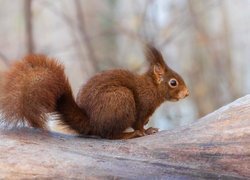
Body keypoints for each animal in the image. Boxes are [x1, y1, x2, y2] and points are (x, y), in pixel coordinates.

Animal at [0, 45, 188, 139]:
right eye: (173, 82)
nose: (186, 94)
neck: (151, 87)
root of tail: (92, 122)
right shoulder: (142, 106)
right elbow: (139, 122)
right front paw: (146, 130)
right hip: (122, 99)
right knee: (109, 135)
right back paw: (130, 134)